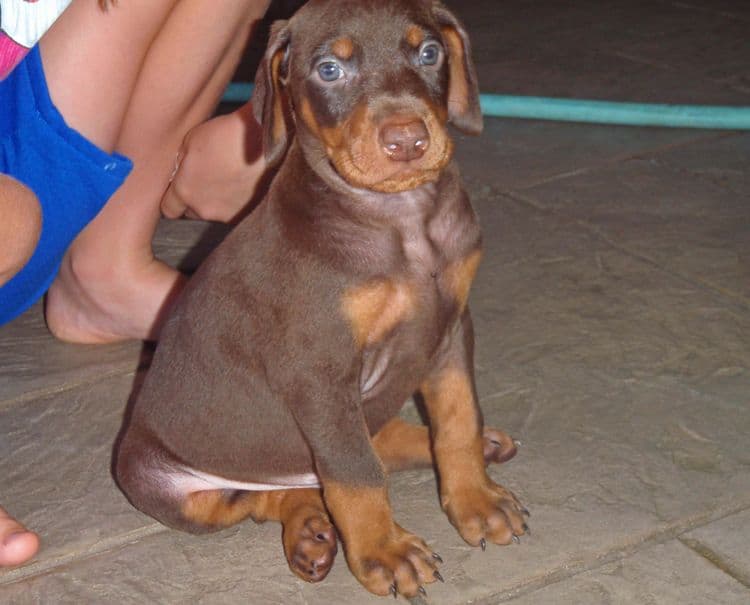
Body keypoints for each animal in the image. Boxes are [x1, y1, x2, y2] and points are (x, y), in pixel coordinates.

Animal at [116, 0, 528, 596]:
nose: (407, 140)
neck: (402, 221)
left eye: (429, 53)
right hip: (163, 483)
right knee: (268, 496)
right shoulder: (318, 368)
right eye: (329, 69)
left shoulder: (450, 329)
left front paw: (476, 500)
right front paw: (384, 551)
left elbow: (457, 419)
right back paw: (309, 528)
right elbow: (354, 473)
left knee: (363, 449)